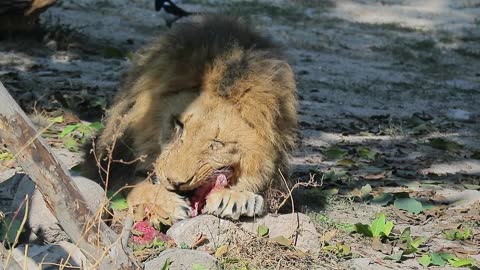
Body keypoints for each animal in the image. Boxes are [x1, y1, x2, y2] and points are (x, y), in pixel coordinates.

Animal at [83, 15, 296, 226]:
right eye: (178, 125)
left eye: (216, 144)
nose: (176, 182)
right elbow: (130, 186)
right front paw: (165, 203)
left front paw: (236, 198)